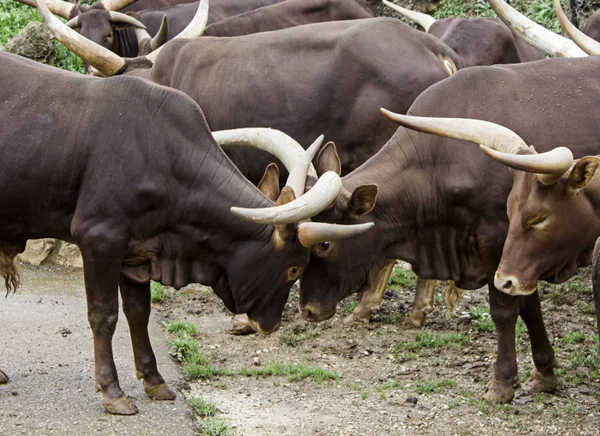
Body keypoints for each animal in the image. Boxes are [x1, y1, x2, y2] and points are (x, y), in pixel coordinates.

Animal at [0, 50, 376, 412]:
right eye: (294, 268)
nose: (269, 326)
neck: (164, 156)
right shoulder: (101, 239)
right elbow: (104, 315)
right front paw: (112, 391)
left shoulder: (136, 253)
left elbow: (139, 313)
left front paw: (154, 380)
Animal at [298, 55, 600, 406]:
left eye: (324, 245)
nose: (307, 310)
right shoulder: (518, 258)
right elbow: (529, 308)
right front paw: (545, 373)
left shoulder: (500, 246)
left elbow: (505, 311)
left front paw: (501, 383)